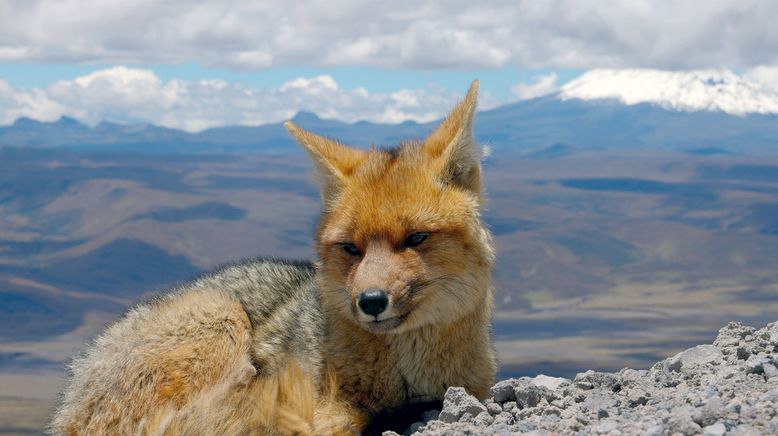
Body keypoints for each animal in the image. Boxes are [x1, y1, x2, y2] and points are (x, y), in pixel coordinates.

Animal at [50, 80, 498, 434]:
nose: (370, 302)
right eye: (351, 248)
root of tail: (68, 404)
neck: (406, 376)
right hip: (221, 315)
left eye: (417, 238)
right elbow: (333, 421)